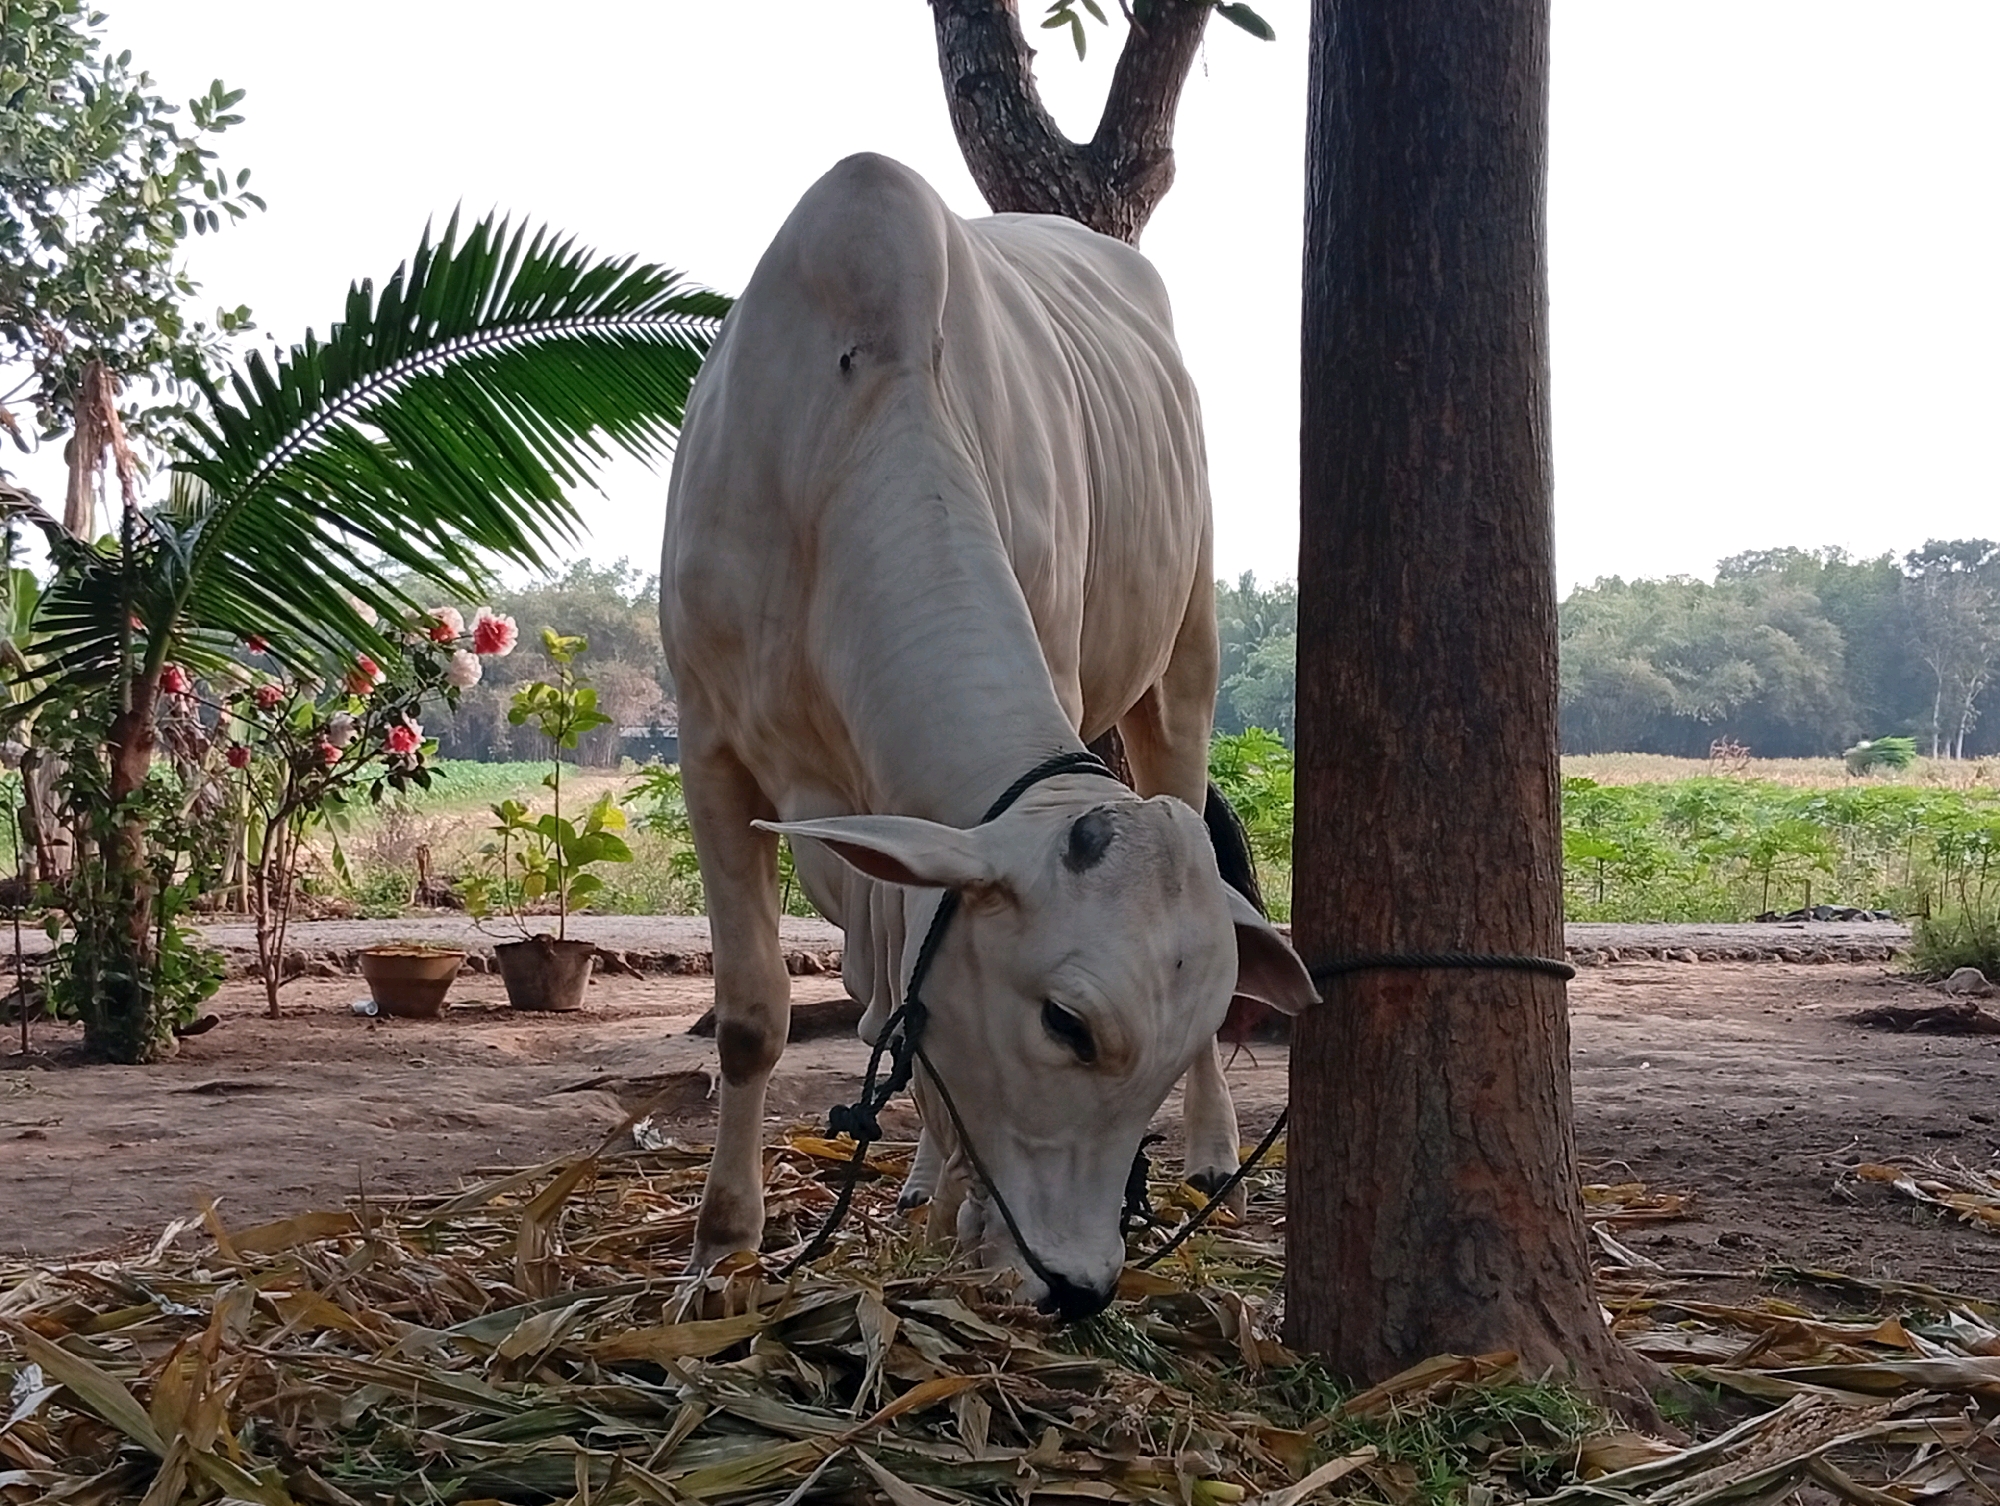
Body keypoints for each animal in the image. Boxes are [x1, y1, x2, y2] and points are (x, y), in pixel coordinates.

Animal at [659, 153, 1317, 1318]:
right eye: (1067, 1022)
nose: (1080, 1284)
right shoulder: (713, 748)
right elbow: (760, 1014)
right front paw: (719, 1253)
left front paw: (975, 1230)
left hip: (1182, 665)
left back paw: (1204, 1155)